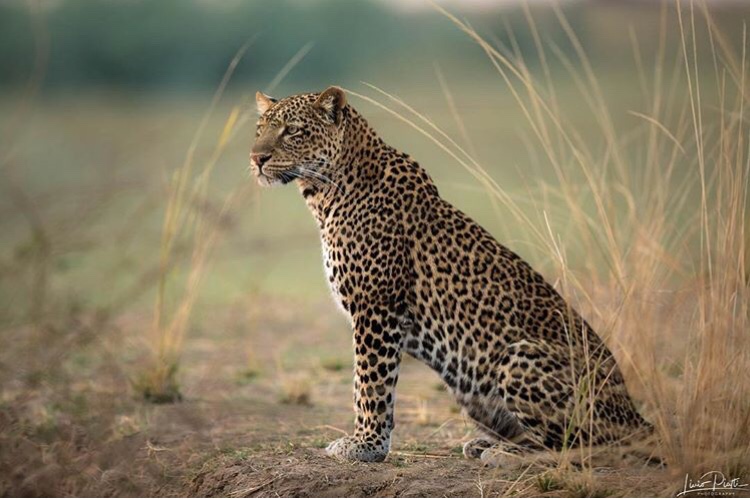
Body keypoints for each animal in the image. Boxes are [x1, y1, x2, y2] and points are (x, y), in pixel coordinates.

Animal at [248, 86, 653, 465]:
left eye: (292, 131)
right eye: (260, 129)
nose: (256, 158)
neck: (324, 195)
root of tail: (636, 415)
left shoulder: (377, 308)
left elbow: (370, 383)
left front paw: (365, 446)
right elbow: (370, 383)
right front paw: (368, 443)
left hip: (519, 358)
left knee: (585, 445)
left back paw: (507, 454)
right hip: (472, 391)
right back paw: (487, 444)